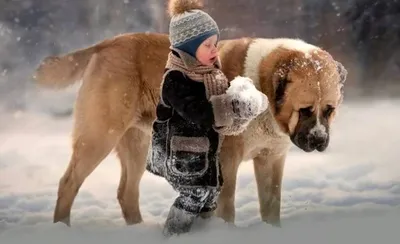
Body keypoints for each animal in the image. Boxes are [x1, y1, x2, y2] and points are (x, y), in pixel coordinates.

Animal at [34, 31, 346, 227]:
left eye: (329, 110)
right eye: (304, 110)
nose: (319, 140)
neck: (263, 88)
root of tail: (108, 43)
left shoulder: (271, 160)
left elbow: (271, 207)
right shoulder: (227, 161)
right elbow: (227, 207)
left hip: (138, 144)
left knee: (126, 193)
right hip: (100, 136)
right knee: (68, 183)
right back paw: (62, 228)